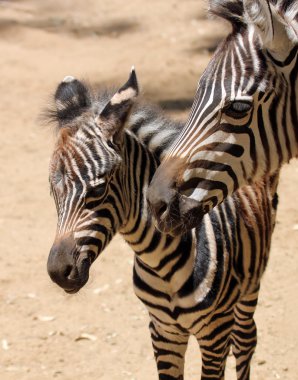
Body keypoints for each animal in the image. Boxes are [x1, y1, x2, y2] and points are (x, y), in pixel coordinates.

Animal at [46, 71, 280, 380]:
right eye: (52, 191)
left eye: (97, 190)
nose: (58, 273)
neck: (160, 259)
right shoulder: (163, 332)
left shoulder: (215, 332)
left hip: (250, 286)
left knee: (246, 340)